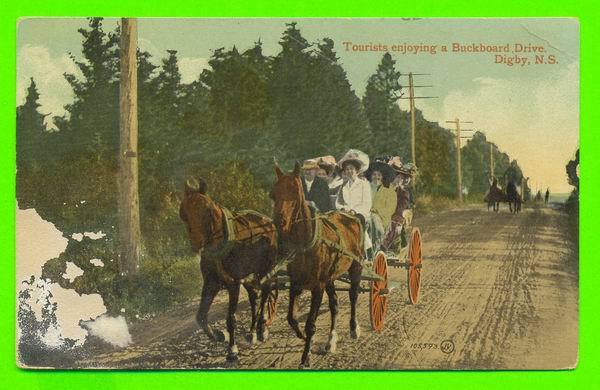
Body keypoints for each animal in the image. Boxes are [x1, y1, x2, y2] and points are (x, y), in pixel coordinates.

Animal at [178, 178, 278, 364]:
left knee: (265, 295)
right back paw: (251, 332)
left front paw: (232, 350)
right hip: (249, 277)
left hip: (266, 270)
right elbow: (201, 316)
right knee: (254, 298)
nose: (196, 244)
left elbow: (230, 318)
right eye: (184, 212)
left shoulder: (233, 284)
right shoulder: (211, 283)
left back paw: (261, 329)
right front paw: (219, 335)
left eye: (208, 211)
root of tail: (268, 221)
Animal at [270, 162, 364, 368]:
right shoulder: (296, 284)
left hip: (356, 267)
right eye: (273, 194)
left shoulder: (317, 287)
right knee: (335, 304)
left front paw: (305, 357)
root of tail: (351, 216)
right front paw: (302, 336)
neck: (306, 244)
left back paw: (354, 328)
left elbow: (311, 324)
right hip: (330, 277)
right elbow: (291, 318)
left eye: (295, 193)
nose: (279, 223)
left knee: (353, 296)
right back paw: (331, 340)